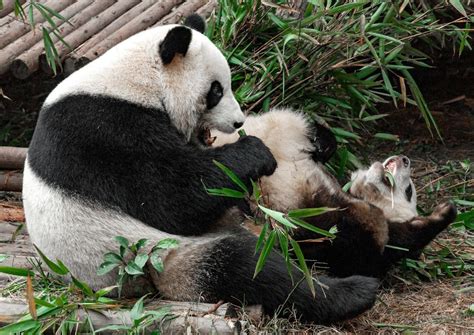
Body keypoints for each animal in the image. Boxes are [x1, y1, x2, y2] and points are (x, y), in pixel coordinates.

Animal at [22, 14, 380, 324]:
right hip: (148, 253)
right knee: (245, 267)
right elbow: (172, 196)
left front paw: (320, 138)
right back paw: (353, 291)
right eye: (216, 90)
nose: (237, 122)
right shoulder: (104, 131)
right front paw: (256, 153)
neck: (133, 80)